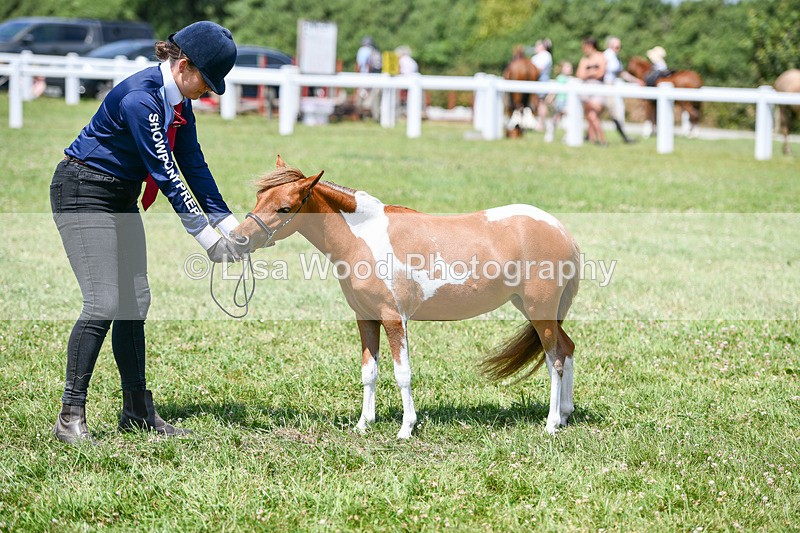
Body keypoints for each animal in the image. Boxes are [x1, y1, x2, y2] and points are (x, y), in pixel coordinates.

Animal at [231, 156, 581, 438]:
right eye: (260, 197)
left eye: (284, 208)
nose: (238, 238)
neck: (365, 237)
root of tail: (561, 231)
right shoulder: (366, 318)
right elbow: (369, 372)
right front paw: (363, 424)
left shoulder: (393, 318)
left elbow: (403, 373)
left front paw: (406, 428)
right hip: (534, 310)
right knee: (567, 348)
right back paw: (564, 416)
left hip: (539, 310)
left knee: (554, 360)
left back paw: (551, 424)